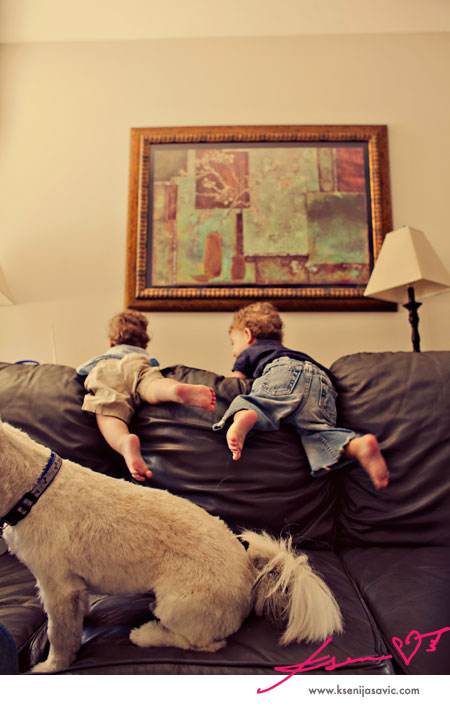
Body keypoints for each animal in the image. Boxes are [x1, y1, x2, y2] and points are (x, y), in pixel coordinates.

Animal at [0, 420, 343, 673]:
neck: (35, 488)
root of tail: (251, 575)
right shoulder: (72, 586)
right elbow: (75, 615)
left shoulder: (57, 586)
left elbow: (59, 634)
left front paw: (51, 666)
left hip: (178, 603)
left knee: (201, 643)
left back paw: (146, 634)